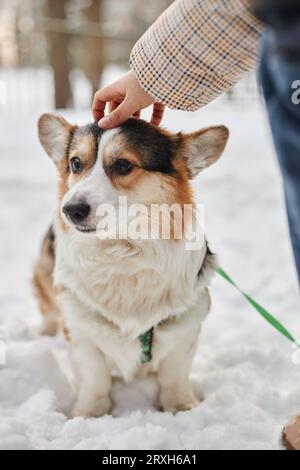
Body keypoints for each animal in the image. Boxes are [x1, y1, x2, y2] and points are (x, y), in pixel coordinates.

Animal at [33, 115, 227, 416]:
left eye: (123, 165)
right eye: (76, 163)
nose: (70, 210)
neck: (122, 251)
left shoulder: (185, 325)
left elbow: (174, 375)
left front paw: (181, 406)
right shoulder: (80, 328)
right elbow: (94, 377)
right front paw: (89, 414)